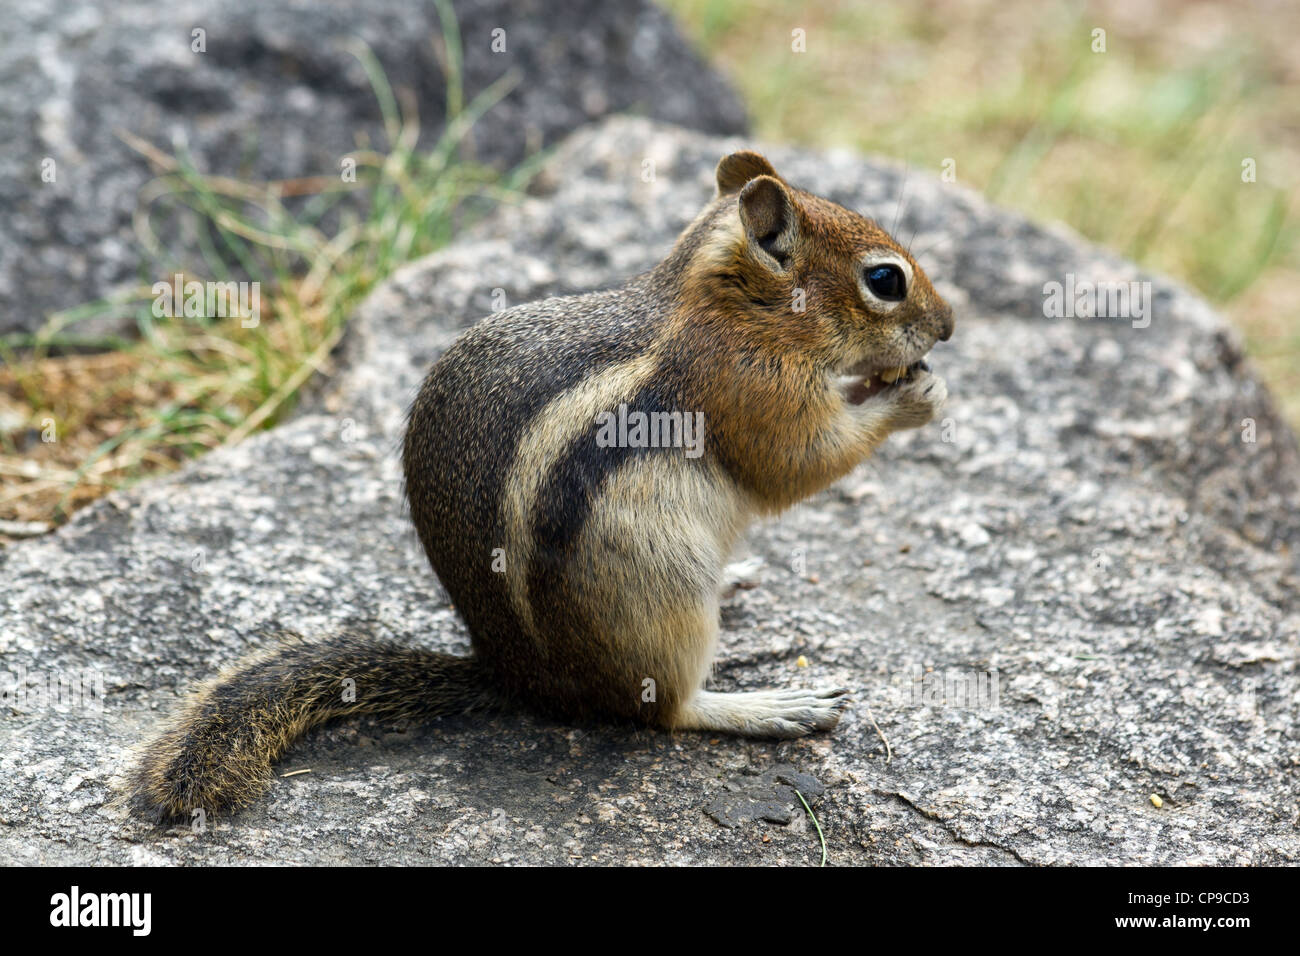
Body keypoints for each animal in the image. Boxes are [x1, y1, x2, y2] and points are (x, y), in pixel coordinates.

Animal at [126, 151, 951, 822]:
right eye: (885, 280)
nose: (946, 326)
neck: (734, 309)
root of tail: (517, 677)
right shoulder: (750, 392)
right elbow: (798, 463)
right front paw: (910, 398)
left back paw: (741, 579)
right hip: (662, 598)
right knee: (665, 712)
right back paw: (770, 706)